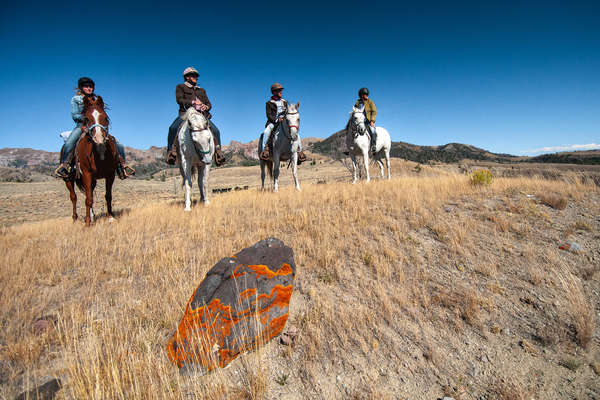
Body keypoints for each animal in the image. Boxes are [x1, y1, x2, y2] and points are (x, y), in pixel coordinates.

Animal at [64, 94, 119, 225]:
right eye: (87, 119)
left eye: (105, 118)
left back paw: (92, 216)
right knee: (74, 197)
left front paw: (111, 217)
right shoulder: (86, 174)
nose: (99, 138)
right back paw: (75, 218)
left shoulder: (110, 174)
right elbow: (88, 199)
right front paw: (88, 223)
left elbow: (108, 196)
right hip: (69, 179)